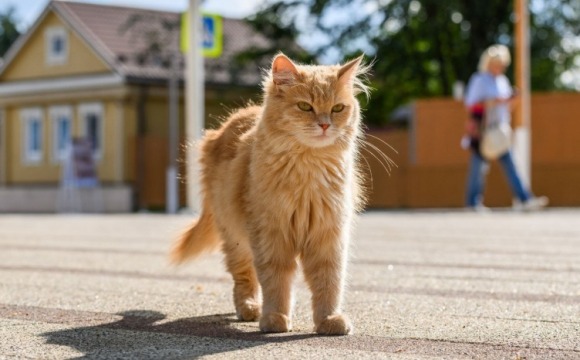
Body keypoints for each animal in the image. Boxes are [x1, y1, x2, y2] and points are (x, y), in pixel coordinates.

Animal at [172, 53, 370, 334]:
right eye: (305, 107)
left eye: (337, 109)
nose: (324, 125)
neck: (307, 172)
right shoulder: (271, 235)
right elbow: (276, 282)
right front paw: (275, 319)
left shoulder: (328, 236)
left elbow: (329, 282)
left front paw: (329, 320)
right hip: (235, 237)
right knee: (244, 276)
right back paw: (250, 309)